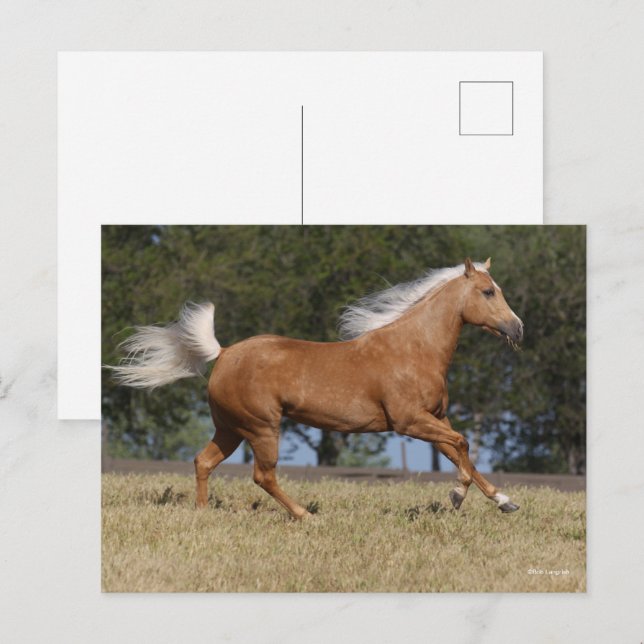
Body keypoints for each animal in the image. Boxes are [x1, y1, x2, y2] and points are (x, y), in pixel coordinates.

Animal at [111, 257, 524, 519]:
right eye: (488, 292)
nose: (518, 328)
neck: (413, 349)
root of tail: (224, 353)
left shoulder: (434, 418)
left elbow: (460, 452)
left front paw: (505, 502)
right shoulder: (409, 422)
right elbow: (463, 447)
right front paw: (456, 497)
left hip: (230, 428)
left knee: (204, 462)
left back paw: (202, 513)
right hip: (261, 428)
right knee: (263, 475)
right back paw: (305, 515)